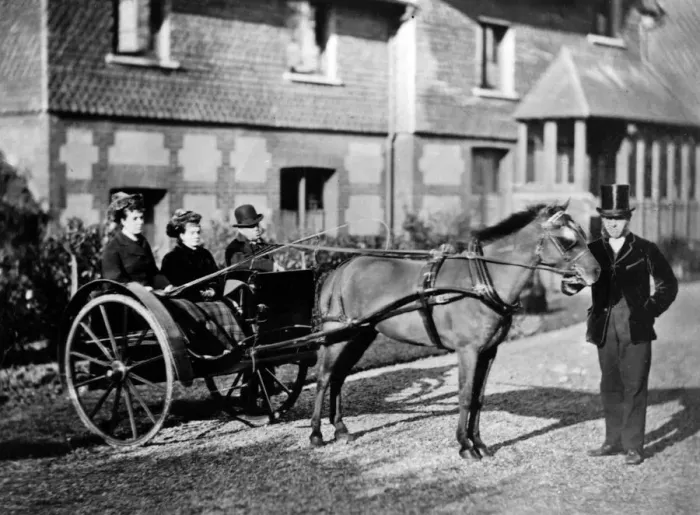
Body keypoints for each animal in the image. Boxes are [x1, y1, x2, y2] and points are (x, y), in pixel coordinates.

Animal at [309, 201, 601, 459]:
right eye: (566, 239)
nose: (596, 271)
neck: (482, 280)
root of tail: (343, 266)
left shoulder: (488, 352)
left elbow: (478, 398)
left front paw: (479, 443)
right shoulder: (467, 351)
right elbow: (465, 395)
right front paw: (465, 446)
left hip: (361, 335)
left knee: (338, 377)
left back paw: (340, 428)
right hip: (337, 335)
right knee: (324, 377)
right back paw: (316, 434)